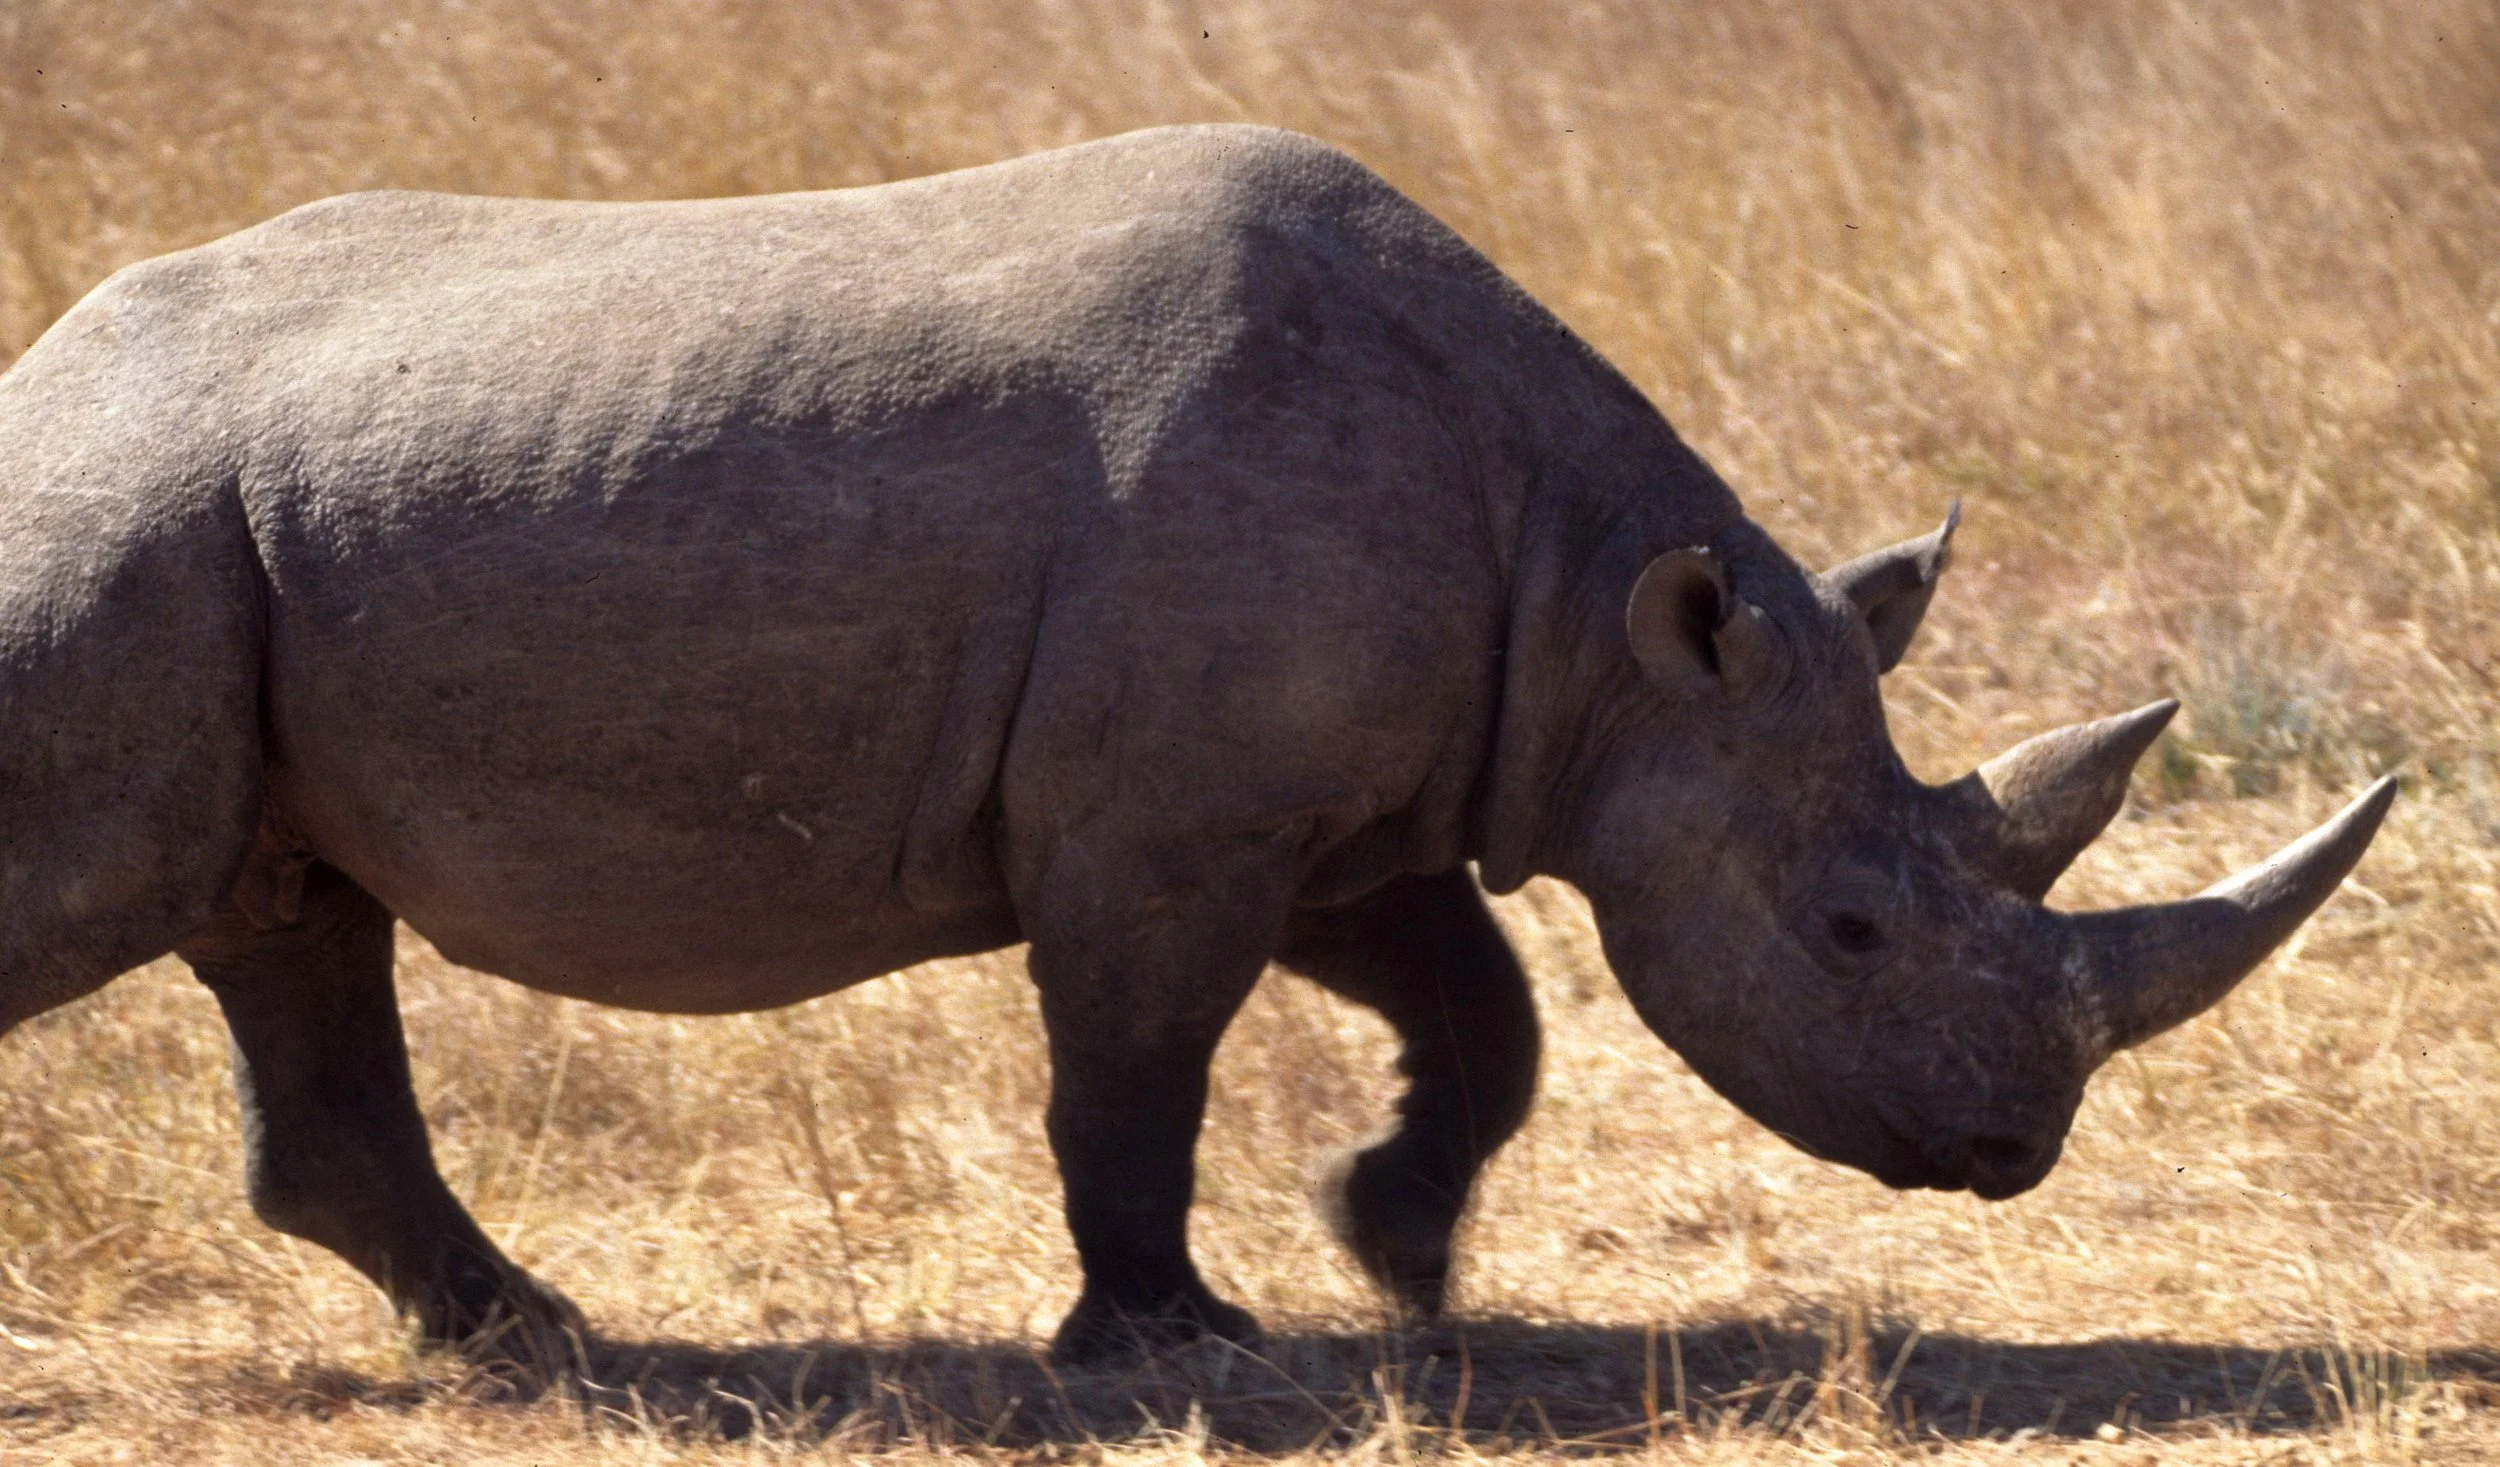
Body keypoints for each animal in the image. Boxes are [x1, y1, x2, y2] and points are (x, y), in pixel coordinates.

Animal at [0, 124, 2391, 1363]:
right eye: (1852, 932)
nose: (2012, 1150)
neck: (1611, 617)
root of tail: (45, 370)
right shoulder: (1164, 831)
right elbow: (1133, 1081)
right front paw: (1179, 1346)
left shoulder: (1351, 795)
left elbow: (1486, 1014)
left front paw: (1398, 1258)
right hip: (125, 530)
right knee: (127, 882)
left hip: (232, 556)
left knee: (285, 911)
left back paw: (536, 1340)